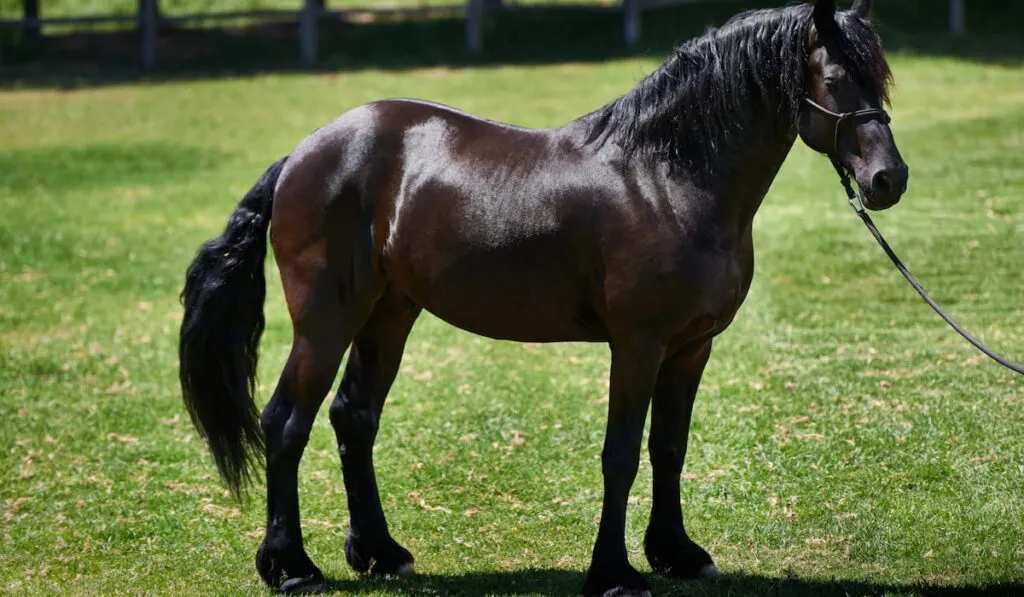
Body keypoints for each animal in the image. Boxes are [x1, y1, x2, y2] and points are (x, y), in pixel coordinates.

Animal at [176, 2, 905, 593]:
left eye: (882, 77)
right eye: (834, 80)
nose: (888, 179)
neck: (665, 176)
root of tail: (302, 156)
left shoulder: (691, 346)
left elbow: (668, 448)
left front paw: (678, 554)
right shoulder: (637, 345)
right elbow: (621, 454)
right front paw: (615, 574)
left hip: (389, 312)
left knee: (354, 416)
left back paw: (381, 553)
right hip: (326, 319)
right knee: (285, 421)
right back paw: (292, 566)